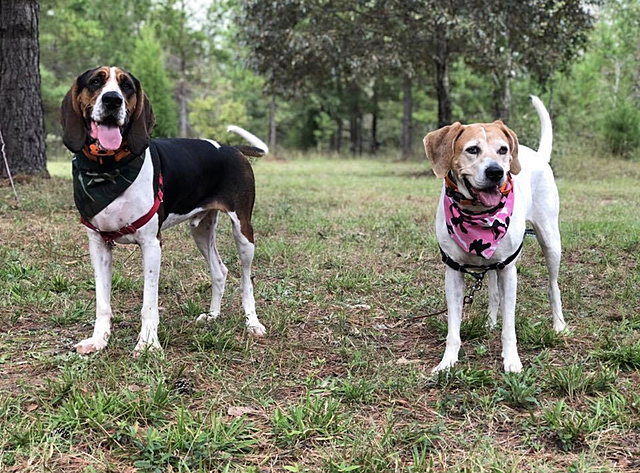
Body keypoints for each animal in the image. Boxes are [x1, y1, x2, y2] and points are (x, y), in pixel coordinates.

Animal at [60, 66, 268, 354]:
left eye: (127, 86)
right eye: (95, 82)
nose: (112, 100)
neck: (107, 169)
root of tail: (231, 148)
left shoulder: (151, 244)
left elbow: (149, 304)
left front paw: (148, 343)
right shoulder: (98, 244)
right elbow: (102, 302)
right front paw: (99, 339)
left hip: (243, 232)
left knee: (246, 280)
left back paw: (252, 323)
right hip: (201, 231)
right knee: (220, 271)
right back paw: (213, 315)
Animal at [424, 97, 564, 372]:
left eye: (502, 150)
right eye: (472, 150)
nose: (496, 172)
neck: (478, 214)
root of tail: (538, 156)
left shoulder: (508, 270)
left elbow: (509, 327)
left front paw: (512, 361)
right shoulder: (453, 271)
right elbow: (453, 328)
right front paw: (447, 362)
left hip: (551, 241)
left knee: (553, 286)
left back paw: (558, 325)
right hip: (494, 263)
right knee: (492, 291)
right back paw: (490, 321)